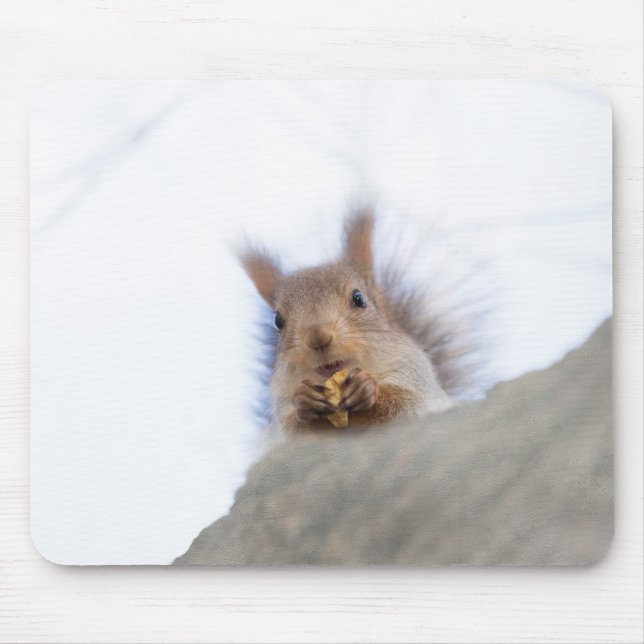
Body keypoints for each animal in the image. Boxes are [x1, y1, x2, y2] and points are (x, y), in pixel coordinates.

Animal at [238, 207, 470, 434]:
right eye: (278, 321)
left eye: (359, 298)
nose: (317, 338)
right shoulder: (282, 409)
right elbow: (293, 426)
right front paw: (303, 400)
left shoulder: (414, 375)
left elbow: (408, 403)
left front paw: (367, 388)